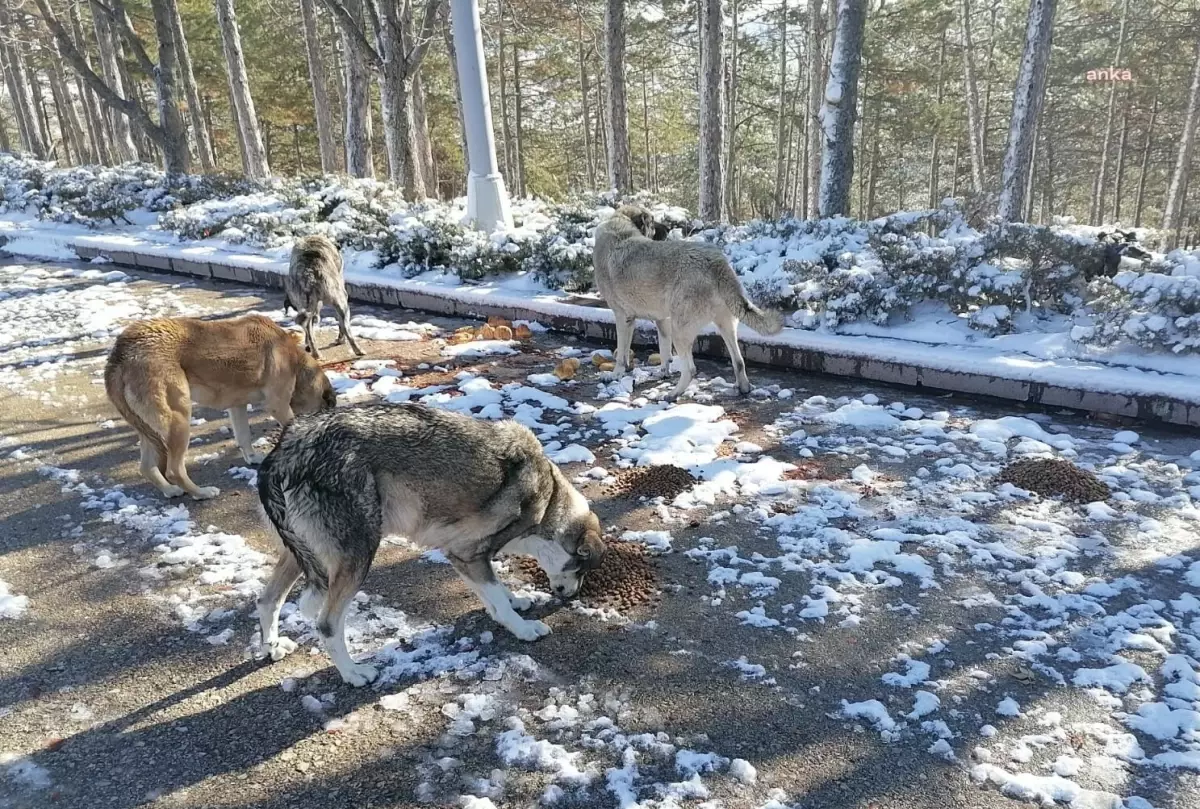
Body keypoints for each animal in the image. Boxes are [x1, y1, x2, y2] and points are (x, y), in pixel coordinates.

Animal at [105, 314, 338, 496]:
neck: (296, 360)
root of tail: (120, 354)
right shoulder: (277, 405)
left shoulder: (237, 406)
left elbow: (244, 437)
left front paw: (252, 458)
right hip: (178, 420)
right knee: (173, 470)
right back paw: (202, 493)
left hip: (149, 428)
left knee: (147, 468)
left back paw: (170, 490)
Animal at [256, 400, 604, 681]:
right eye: (581, 568)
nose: (571, 596)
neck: (547, 499)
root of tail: (285, 449)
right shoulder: (465, 553)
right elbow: (500, 602)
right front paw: (524, 629)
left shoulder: (467, 559)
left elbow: (497, 594)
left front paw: (515, 601)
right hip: (356, 559)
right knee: (327, 624)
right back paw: (354, 673)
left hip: (301, 557)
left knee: (267, 600)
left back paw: (273, 647)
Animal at [284, 232, 360, 360]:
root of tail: (309, 275)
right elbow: (340, 324)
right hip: (341, 302)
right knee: (345, 327)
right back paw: (357, 350)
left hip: (305, 304)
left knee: (308, 329)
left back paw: (315, 353)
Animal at [592, 206, 787, 398]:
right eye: (653, 222)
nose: (668, 229)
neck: (621, 224)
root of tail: (716, 263)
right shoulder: (661, 320)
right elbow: (664, 351)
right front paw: (663, 372)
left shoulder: (623, 317)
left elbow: (621, 353)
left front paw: (616, 374)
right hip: (724, 326)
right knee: (738, 361)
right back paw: (743, 388)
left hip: (680, 331)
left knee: (691, 369)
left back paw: (673, 393)